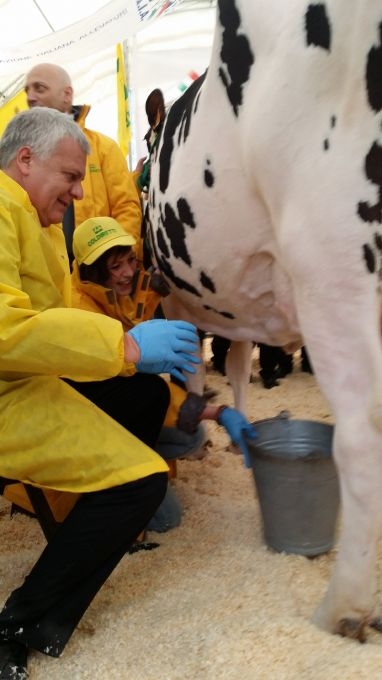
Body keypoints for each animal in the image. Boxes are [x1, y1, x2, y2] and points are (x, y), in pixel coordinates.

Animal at [147, 0, 382, 640]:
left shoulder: (183, 300)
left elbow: (196, 367)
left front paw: (198, 428)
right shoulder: (237, 306)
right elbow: (231, 366)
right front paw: (226, 431)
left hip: (330, 252)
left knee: (363, 434)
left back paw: (341, 610)